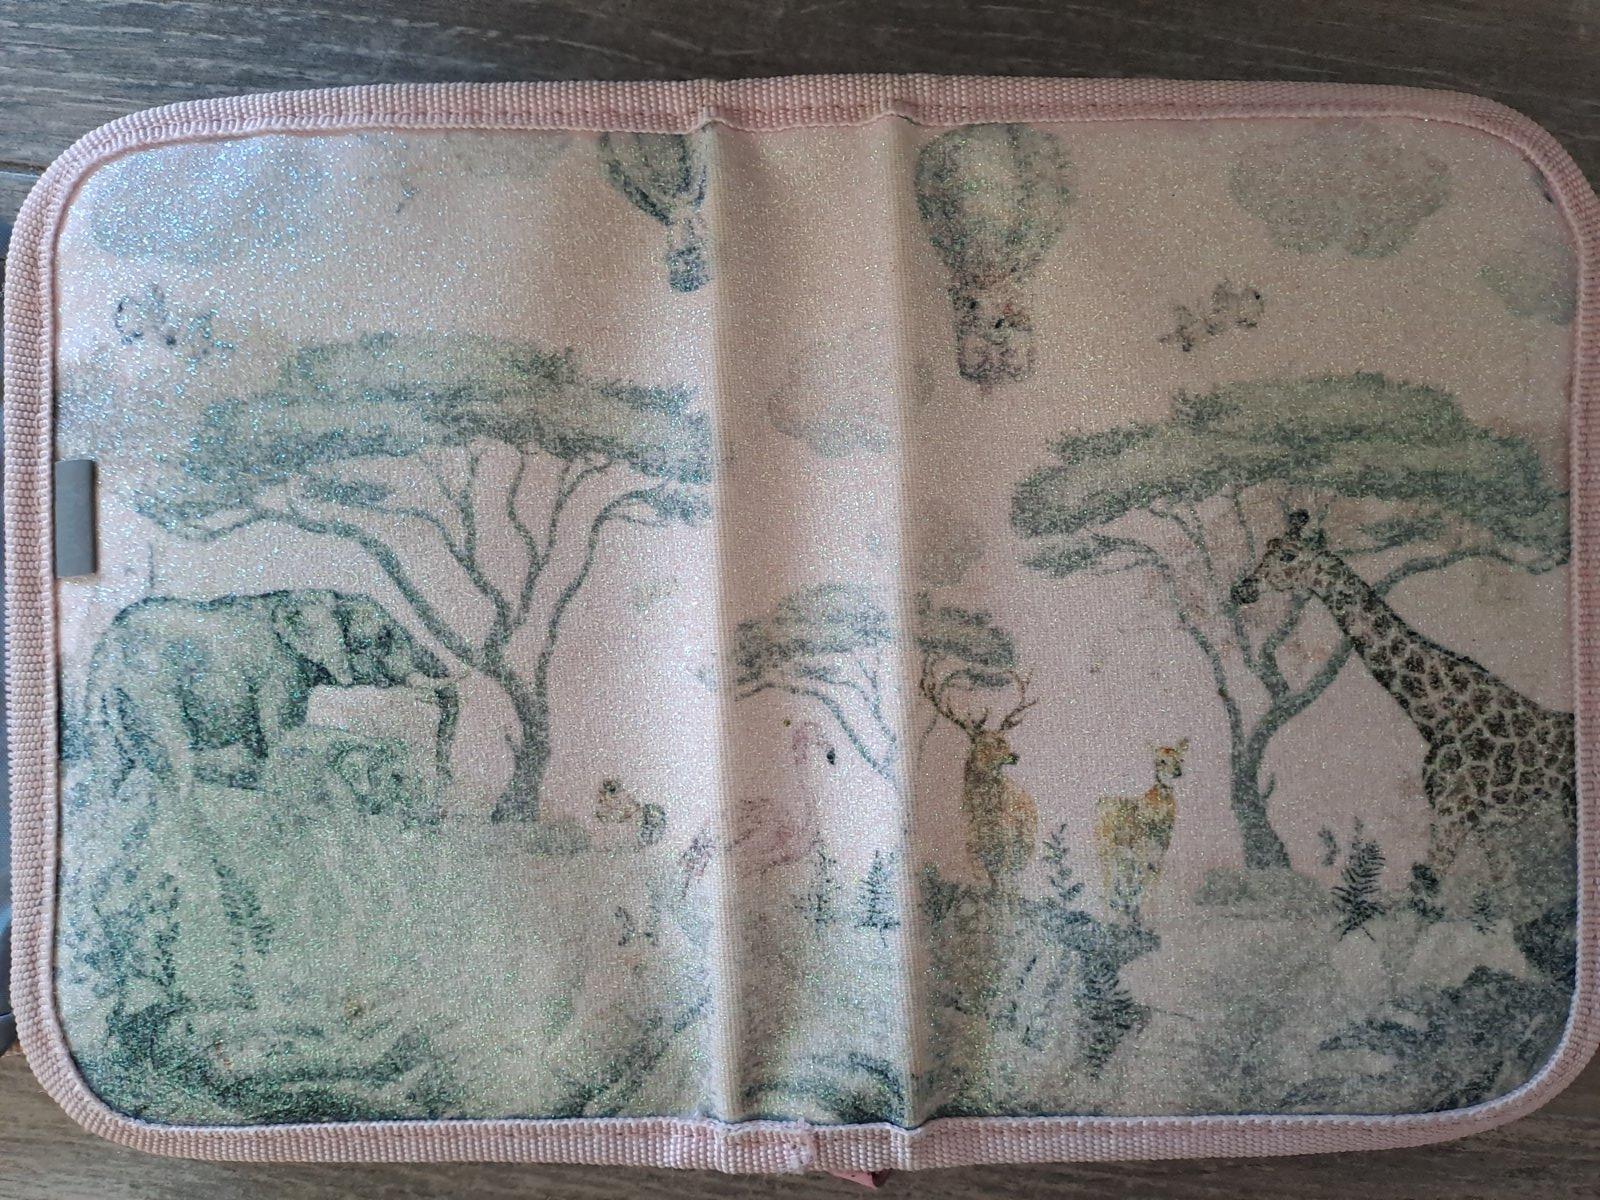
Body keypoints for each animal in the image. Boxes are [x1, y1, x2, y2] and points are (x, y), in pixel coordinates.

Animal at [78, 590, 459, 802]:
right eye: (380, 639)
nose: (446, 781)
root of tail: (106, 654)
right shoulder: (278, 670)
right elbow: (283, 735)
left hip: (103, 712)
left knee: (107, 776)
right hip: (151, 691)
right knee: (177, 760)